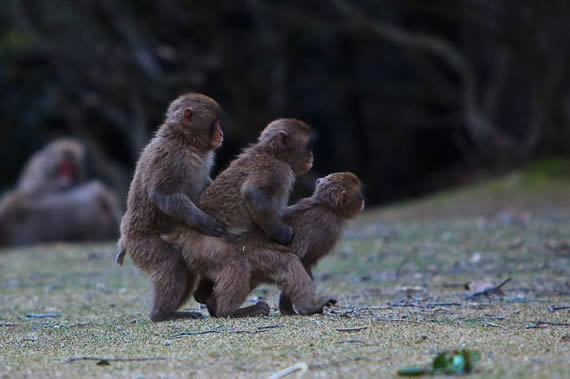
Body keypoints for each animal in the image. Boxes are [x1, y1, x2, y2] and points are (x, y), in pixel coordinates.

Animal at [117, 93, 224, 322]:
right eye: (215, 122)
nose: (221, 133)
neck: (184, 141)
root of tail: (126, 234)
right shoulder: (171, 157)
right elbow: (163, 195)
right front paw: (206, 222)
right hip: (139, 242)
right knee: (171, 264)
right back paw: (161, 314)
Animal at [162, 119, 332, 318]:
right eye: (307, 146)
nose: (311, 156)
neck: (271, 153)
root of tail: (182, 234)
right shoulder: (277, 170)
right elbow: (253, 194)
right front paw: (282, 235)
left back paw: (204, 295)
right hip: (201, 244)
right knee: (235, 261)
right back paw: (231, 310)